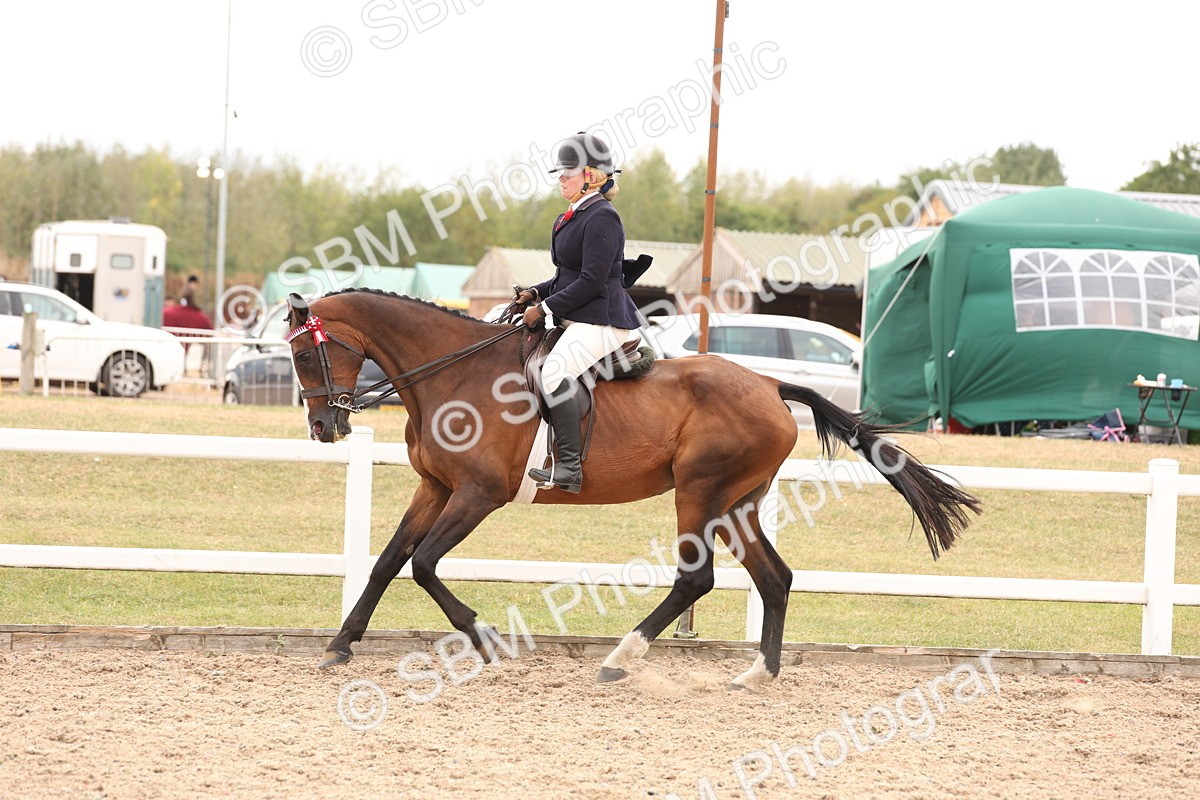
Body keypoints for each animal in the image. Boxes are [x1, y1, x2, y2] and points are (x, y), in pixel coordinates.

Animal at [285, 288, 981, 688]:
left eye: (305, 355)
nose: (324, 427)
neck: (455, 373)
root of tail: (768, 384)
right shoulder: (434, 487)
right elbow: (387, 561)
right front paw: (340, 646)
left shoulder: (477, 494)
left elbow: (424, 564)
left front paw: (486, 642)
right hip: (736, 504)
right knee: (775, 577)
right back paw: (758, 671)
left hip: (698, 492)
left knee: (696, 579)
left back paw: (621, 658)